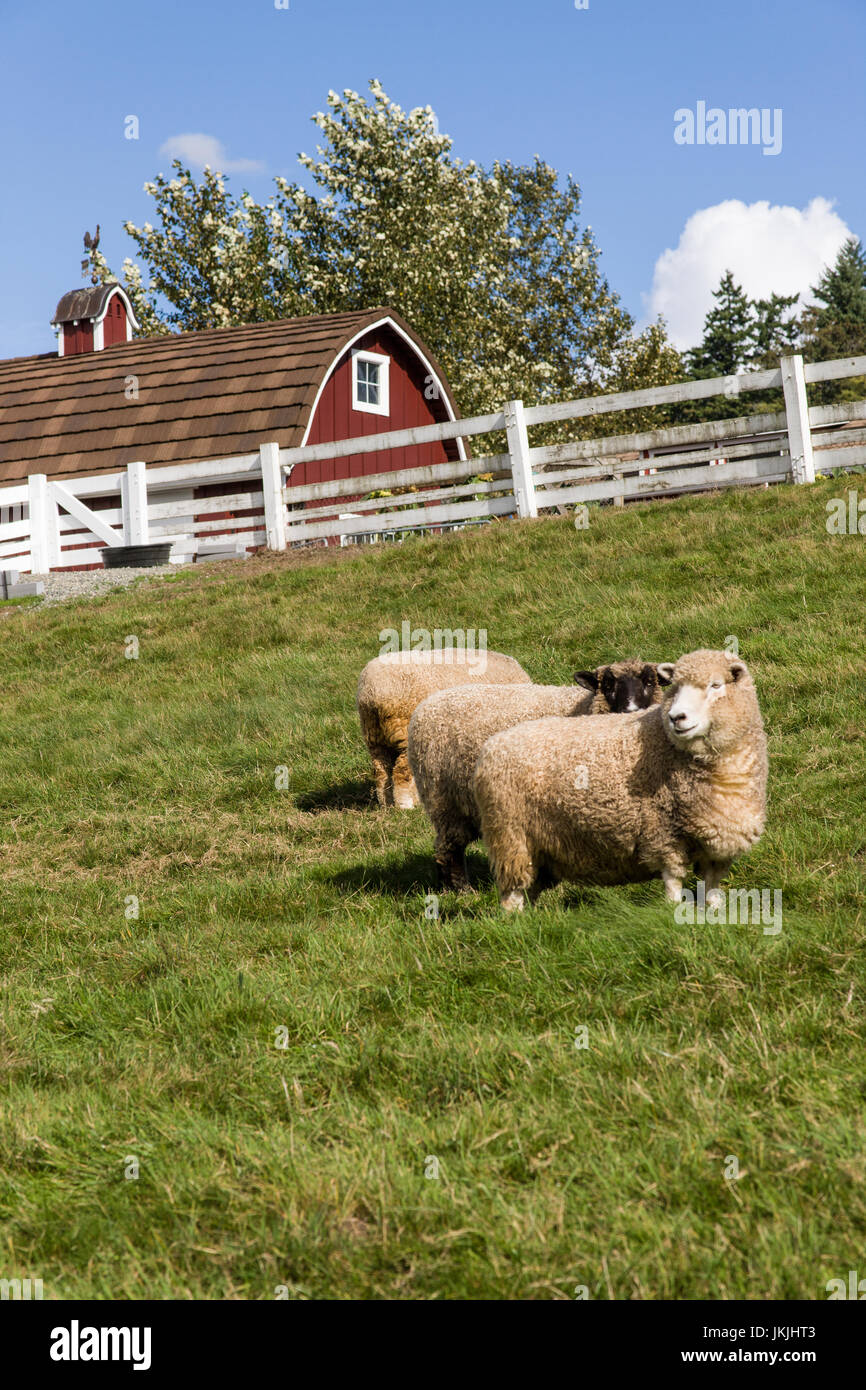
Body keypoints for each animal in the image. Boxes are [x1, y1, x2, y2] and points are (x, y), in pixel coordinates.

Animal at [358, 647, 530, 811]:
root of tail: (376, 691)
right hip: (405, 733)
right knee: (401, 773)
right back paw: (405, 806)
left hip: (374, 737)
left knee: (382, 772)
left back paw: (386, 805)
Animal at [475, 647, 772, 911]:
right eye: (675, 687)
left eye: (715, 685)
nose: (677, 717)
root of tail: (492, 745)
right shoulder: (662, 832)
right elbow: (673, 883)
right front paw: (672, 912)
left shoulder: (718, 844)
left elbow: (712, 891)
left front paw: (714, 914)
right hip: (511, 836)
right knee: (512, 895)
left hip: (540, 848)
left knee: (531, 890)